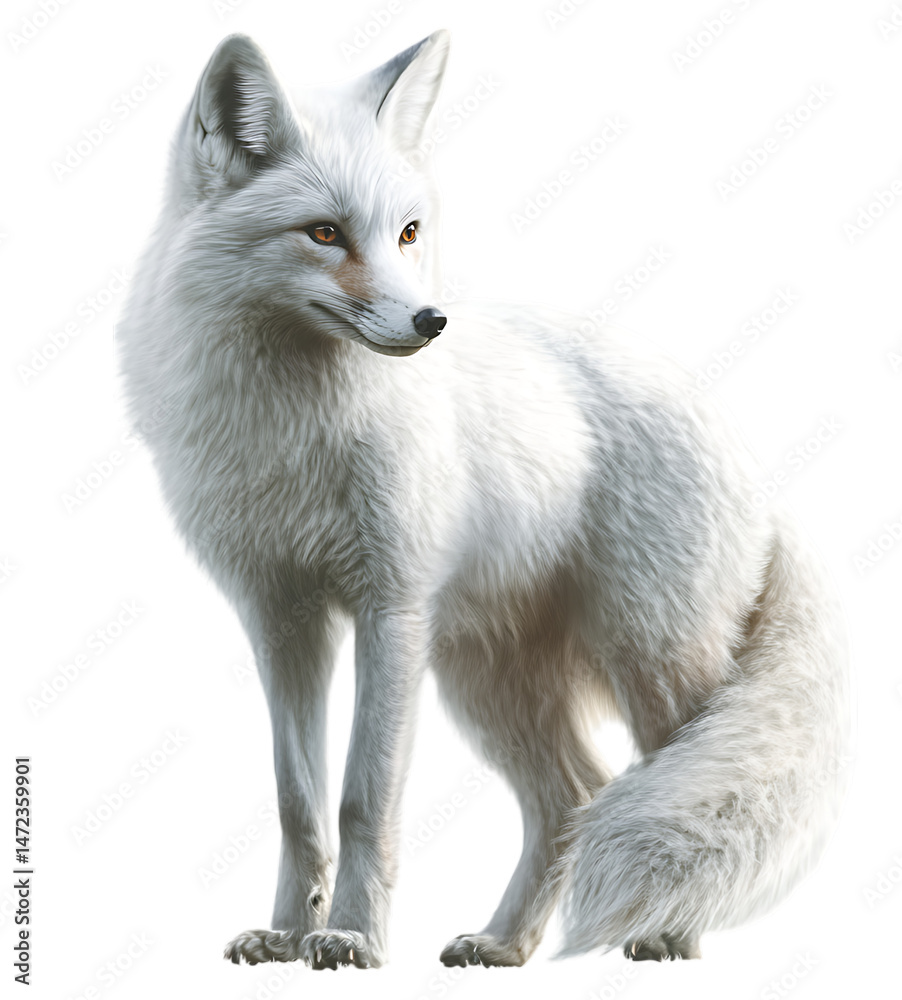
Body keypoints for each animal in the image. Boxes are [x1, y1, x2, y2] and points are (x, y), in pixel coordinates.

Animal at [116, 30, 849, 968]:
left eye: (408, 231)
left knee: (659, 786)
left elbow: (363, 799)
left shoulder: (390, 610)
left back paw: (667, 932)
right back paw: (505, 944)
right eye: (325, 233)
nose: (431, 323)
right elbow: (296, 802)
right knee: (576, 794)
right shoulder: (282, 619)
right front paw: (287, 934)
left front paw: (349, 936)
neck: (293, 426)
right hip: (488, 682)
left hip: (652, 665)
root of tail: (747, 453)